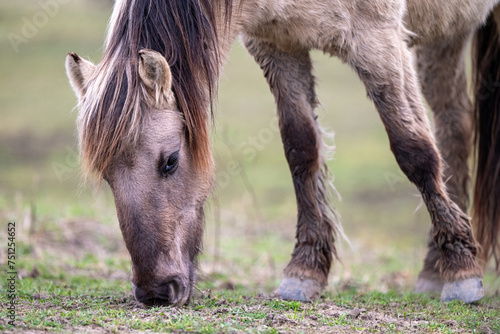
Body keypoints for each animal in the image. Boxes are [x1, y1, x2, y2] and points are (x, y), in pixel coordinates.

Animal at [65, 0, 500, 306]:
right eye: (107, 176)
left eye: (170, 160)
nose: (156, 291)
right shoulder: (280, 44)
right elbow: (301, 148)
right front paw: (305, 271)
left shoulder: (379, 41)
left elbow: (414, 150)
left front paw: (463, 272)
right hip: (445, 32)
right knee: (455, 126)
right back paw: (432, 270)